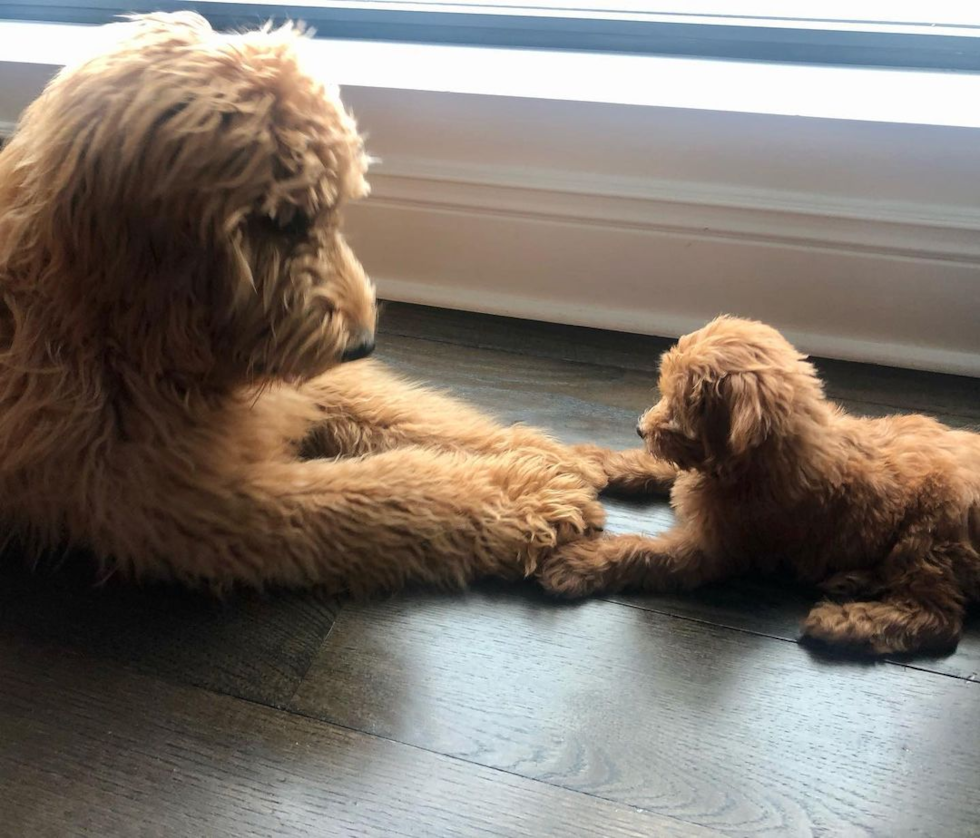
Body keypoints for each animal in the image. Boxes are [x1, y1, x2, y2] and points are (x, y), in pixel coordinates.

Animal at [0, 11, 672, 592]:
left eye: (333, 210)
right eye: (282, 220)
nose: (364, 343)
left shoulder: (291, 382)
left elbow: (405, 415)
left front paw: (545, 455)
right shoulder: (190, 499)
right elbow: (379, 493)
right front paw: (523, 495)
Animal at [544, 318, 980, 660]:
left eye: (681, 405)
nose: (639, 428)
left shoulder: (714, 548)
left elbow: (643, 552)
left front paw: (579, 562)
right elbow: (657, 466)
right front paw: (594, 461)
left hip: (928, 536)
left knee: (938, 618)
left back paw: (843, 621)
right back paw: (851, 582)